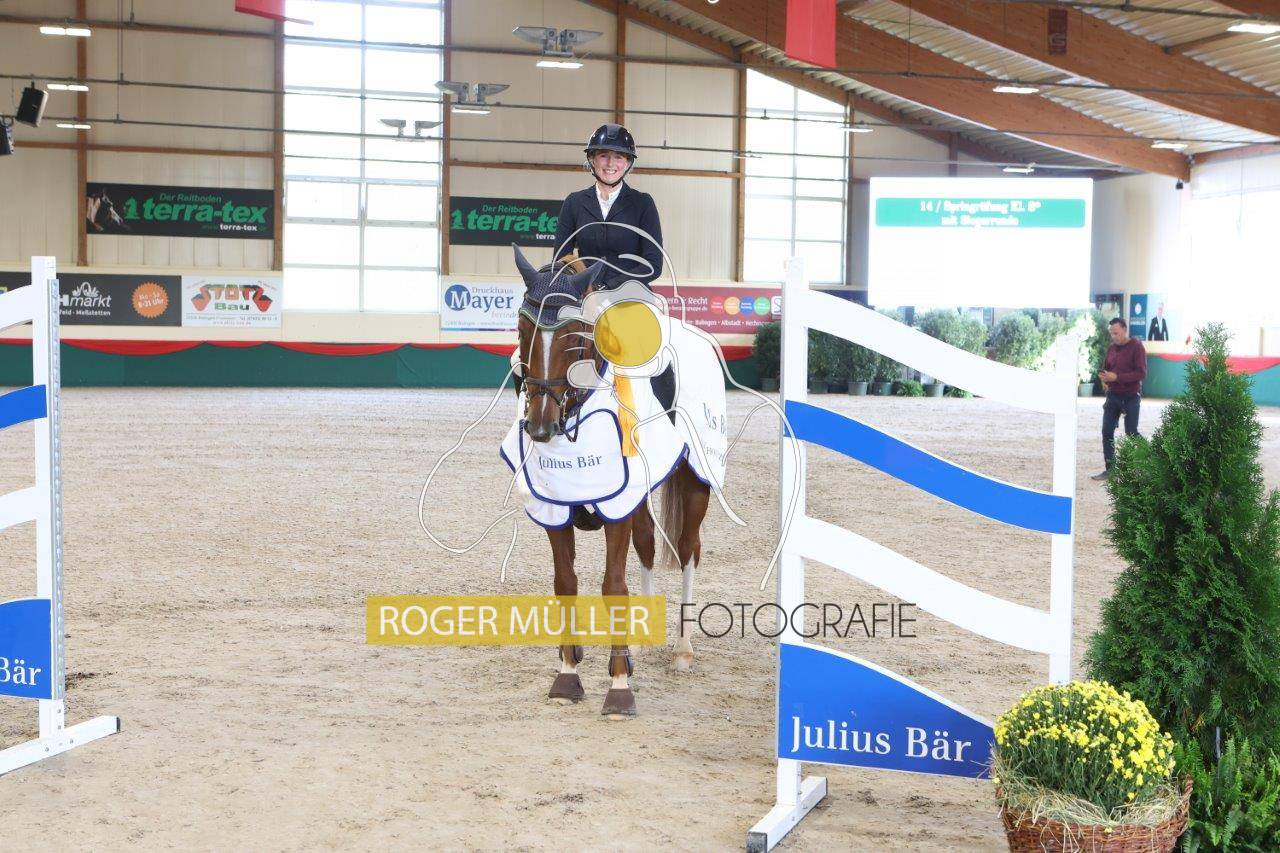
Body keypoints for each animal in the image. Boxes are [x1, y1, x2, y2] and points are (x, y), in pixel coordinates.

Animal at [511, 245, 711, 719]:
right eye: (523, 327)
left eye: (575, 333)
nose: (540, 426)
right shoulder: (556, 509)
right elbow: (566, 584)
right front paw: (567, 675)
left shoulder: (618, 506)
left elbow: (613, 586)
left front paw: (619, 688)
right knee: (648, 548)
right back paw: (638, 640)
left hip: (696, 483)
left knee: (689, 550)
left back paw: (683, 650)